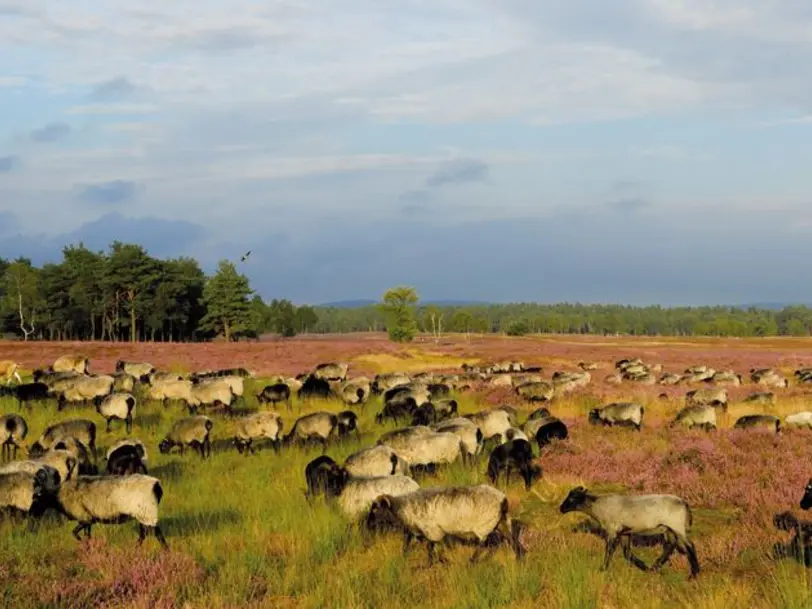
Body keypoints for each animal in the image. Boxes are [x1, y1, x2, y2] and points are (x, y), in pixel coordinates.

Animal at [560, 484, 696, 580]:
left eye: (572, 498)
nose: (561, 508)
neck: (598, 507)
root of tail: (684, 503)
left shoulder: (612, 530)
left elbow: (609, 550)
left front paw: (603, 569)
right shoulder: (625, 533)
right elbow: (627, 553)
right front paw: (644, 567)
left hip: (677, 526)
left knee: (690, 546)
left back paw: (693, 574)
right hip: (667, 528)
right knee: (669, 546)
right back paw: (654, 567)